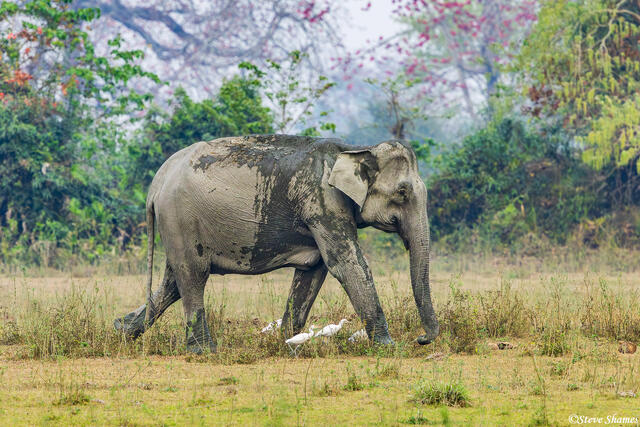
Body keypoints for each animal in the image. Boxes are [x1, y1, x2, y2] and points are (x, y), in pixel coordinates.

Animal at [114, 134, 439, 353]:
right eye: (402, 192)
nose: (421, 339)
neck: (355, 148)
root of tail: (156, 183)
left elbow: (313, 271)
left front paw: (286, 340)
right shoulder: (322, 201)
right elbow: (345, 264)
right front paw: (388, 347)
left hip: (177, 225)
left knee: (173, 281)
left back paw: (123, 330)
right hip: (180, 217)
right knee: (193, 276)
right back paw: (204, 350)